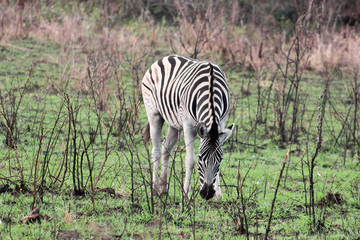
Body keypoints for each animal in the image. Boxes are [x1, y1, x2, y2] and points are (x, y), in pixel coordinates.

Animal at [141, 55, 233, 200]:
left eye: (220, 159)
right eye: (200, 158)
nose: (207, 194)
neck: (211, 88)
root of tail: (166, 57)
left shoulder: (221, 123)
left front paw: (219, 195)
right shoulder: (188, 125)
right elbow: (190, 161)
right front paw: (185, 195)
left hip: (174, 123)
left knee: (166, 149)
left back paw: (163, 189)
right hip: (154, 113)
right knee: (156, 151)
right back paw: (154, 190)